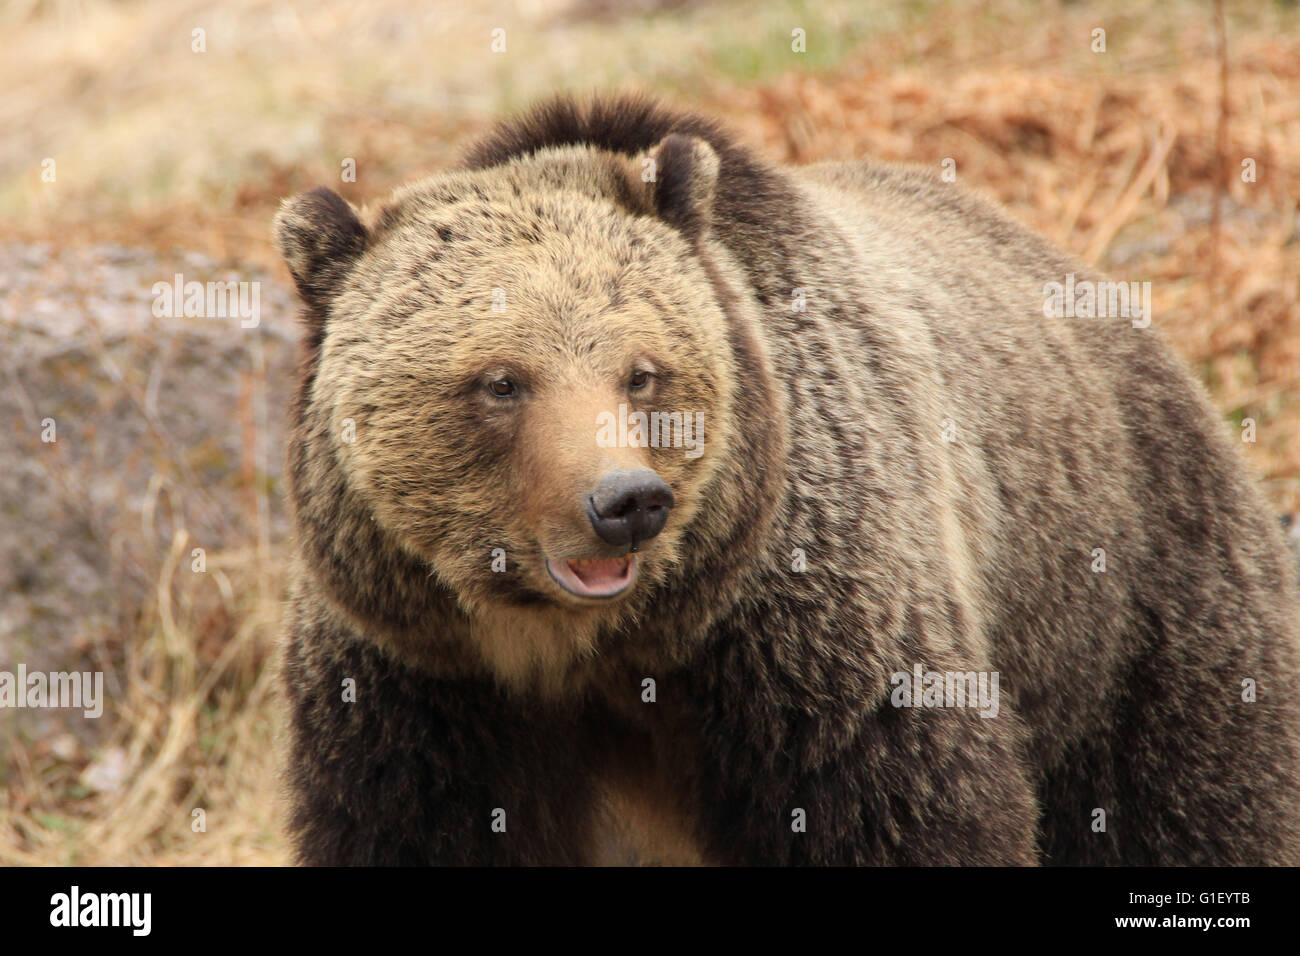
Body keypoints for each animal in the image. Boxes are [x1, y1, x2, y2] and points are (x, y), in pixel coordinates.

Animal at [274, 93, 1300, 863]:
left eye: (641, 371)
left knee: (1193, 797)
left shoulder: (808, 646)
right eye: (501, 381)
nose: (624, 503)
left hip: (1128, 604)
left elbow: (904, 810)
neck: (589, 652)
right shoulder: (420, 686)